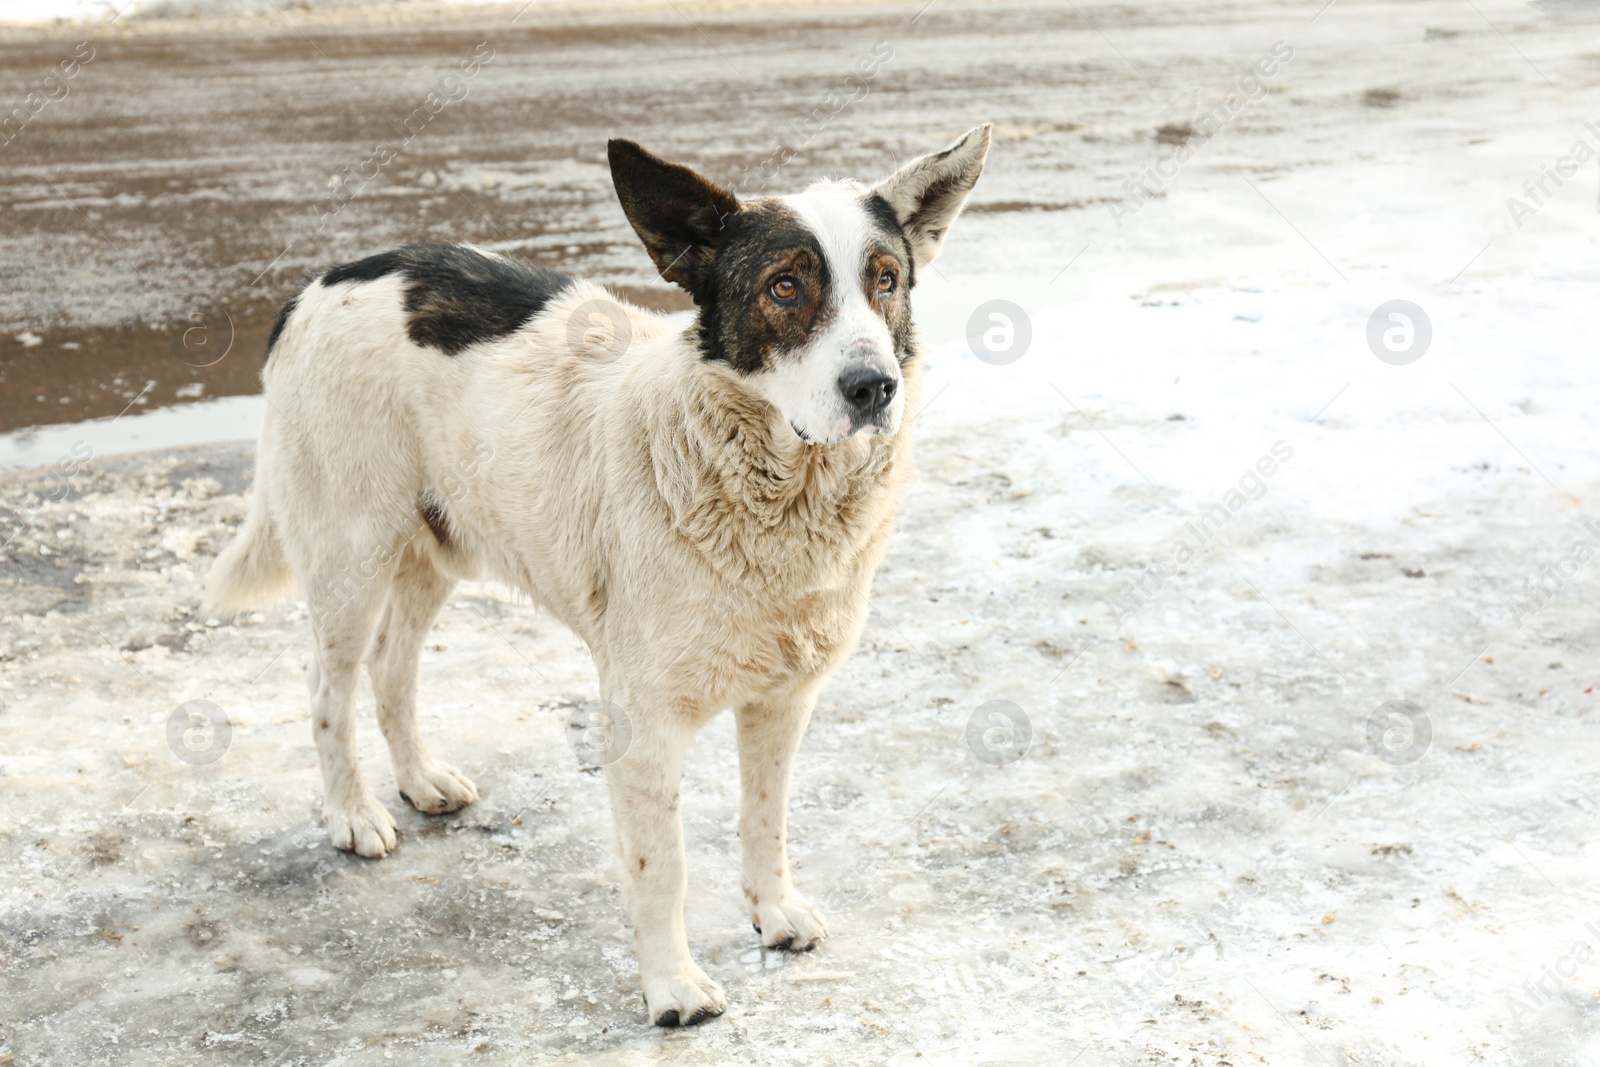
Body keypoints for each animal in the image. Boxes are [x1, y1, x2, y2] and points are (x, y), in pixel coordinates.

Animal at [208, 127, 992, 1023]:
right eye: (785, 285)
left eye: (885, 279)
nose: (874, 387)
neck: (771, 493)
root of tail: (318, 282)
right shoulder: (642, 720)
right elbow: (664, 866)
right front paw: (673, 987)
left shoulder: (783, 699)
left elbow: (765, 818)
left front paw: (773, 910)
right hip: (350, 556)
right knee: (327, 689)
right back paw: (354, 814)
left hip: (438, 546)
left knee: (391, 669)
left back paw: (421, 781)